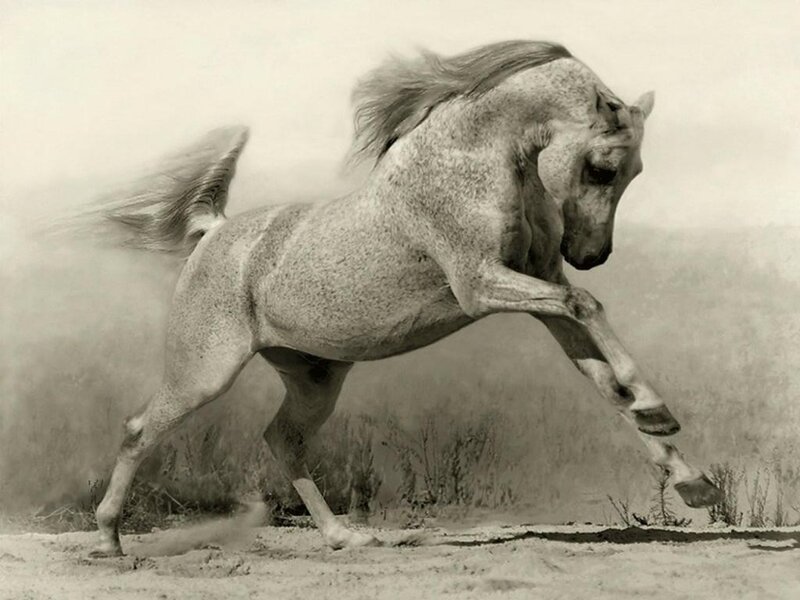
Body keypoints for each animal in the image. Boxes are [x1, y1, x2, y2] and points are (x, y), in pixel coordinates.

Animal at [75, 40, 721, 557]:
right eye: (602, 168)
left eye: (633, 173)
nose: (592, 255)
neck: (477, 160)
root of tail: (213, 232)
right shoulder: (481, 284)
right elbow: (587, 305)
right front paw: (657, 408)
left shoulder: (540, 287)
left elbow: (603, 380)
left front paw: (690, 477)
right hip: (204, 373)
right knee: (139, 429)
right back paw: (108, 540)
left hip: (314, 378)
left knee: (282, 441)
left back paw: (345, 538)